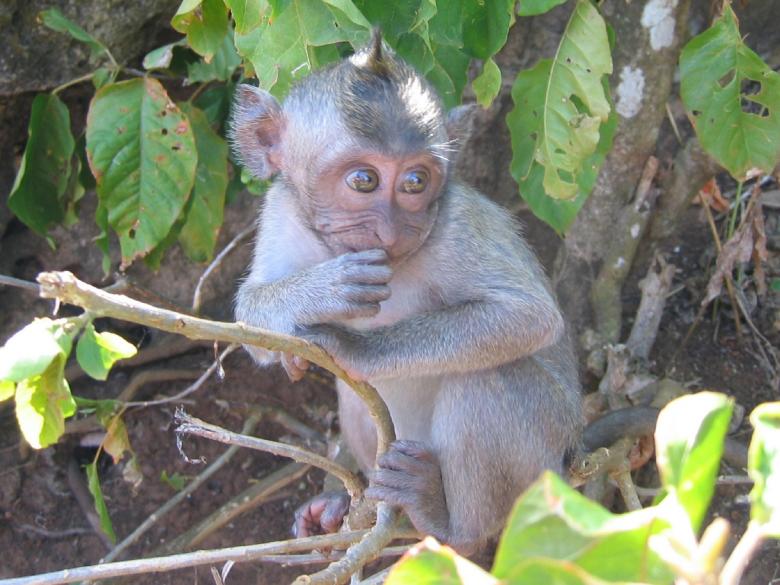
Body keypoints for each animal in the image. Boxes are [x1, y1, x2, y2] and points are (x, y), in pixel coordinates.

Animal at [230, 30, 582, 553]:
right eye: (364, 180)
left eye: (416, 181)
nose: (392, 230)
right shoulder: (279, 209)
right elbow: (252, 322)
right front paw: (320, 295)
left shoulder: (456, 225)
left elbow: (528, 316)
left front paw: (353, 347)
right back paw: (341, 495)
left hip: (548, 453)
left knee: (488, 379)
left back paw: (448, 523)